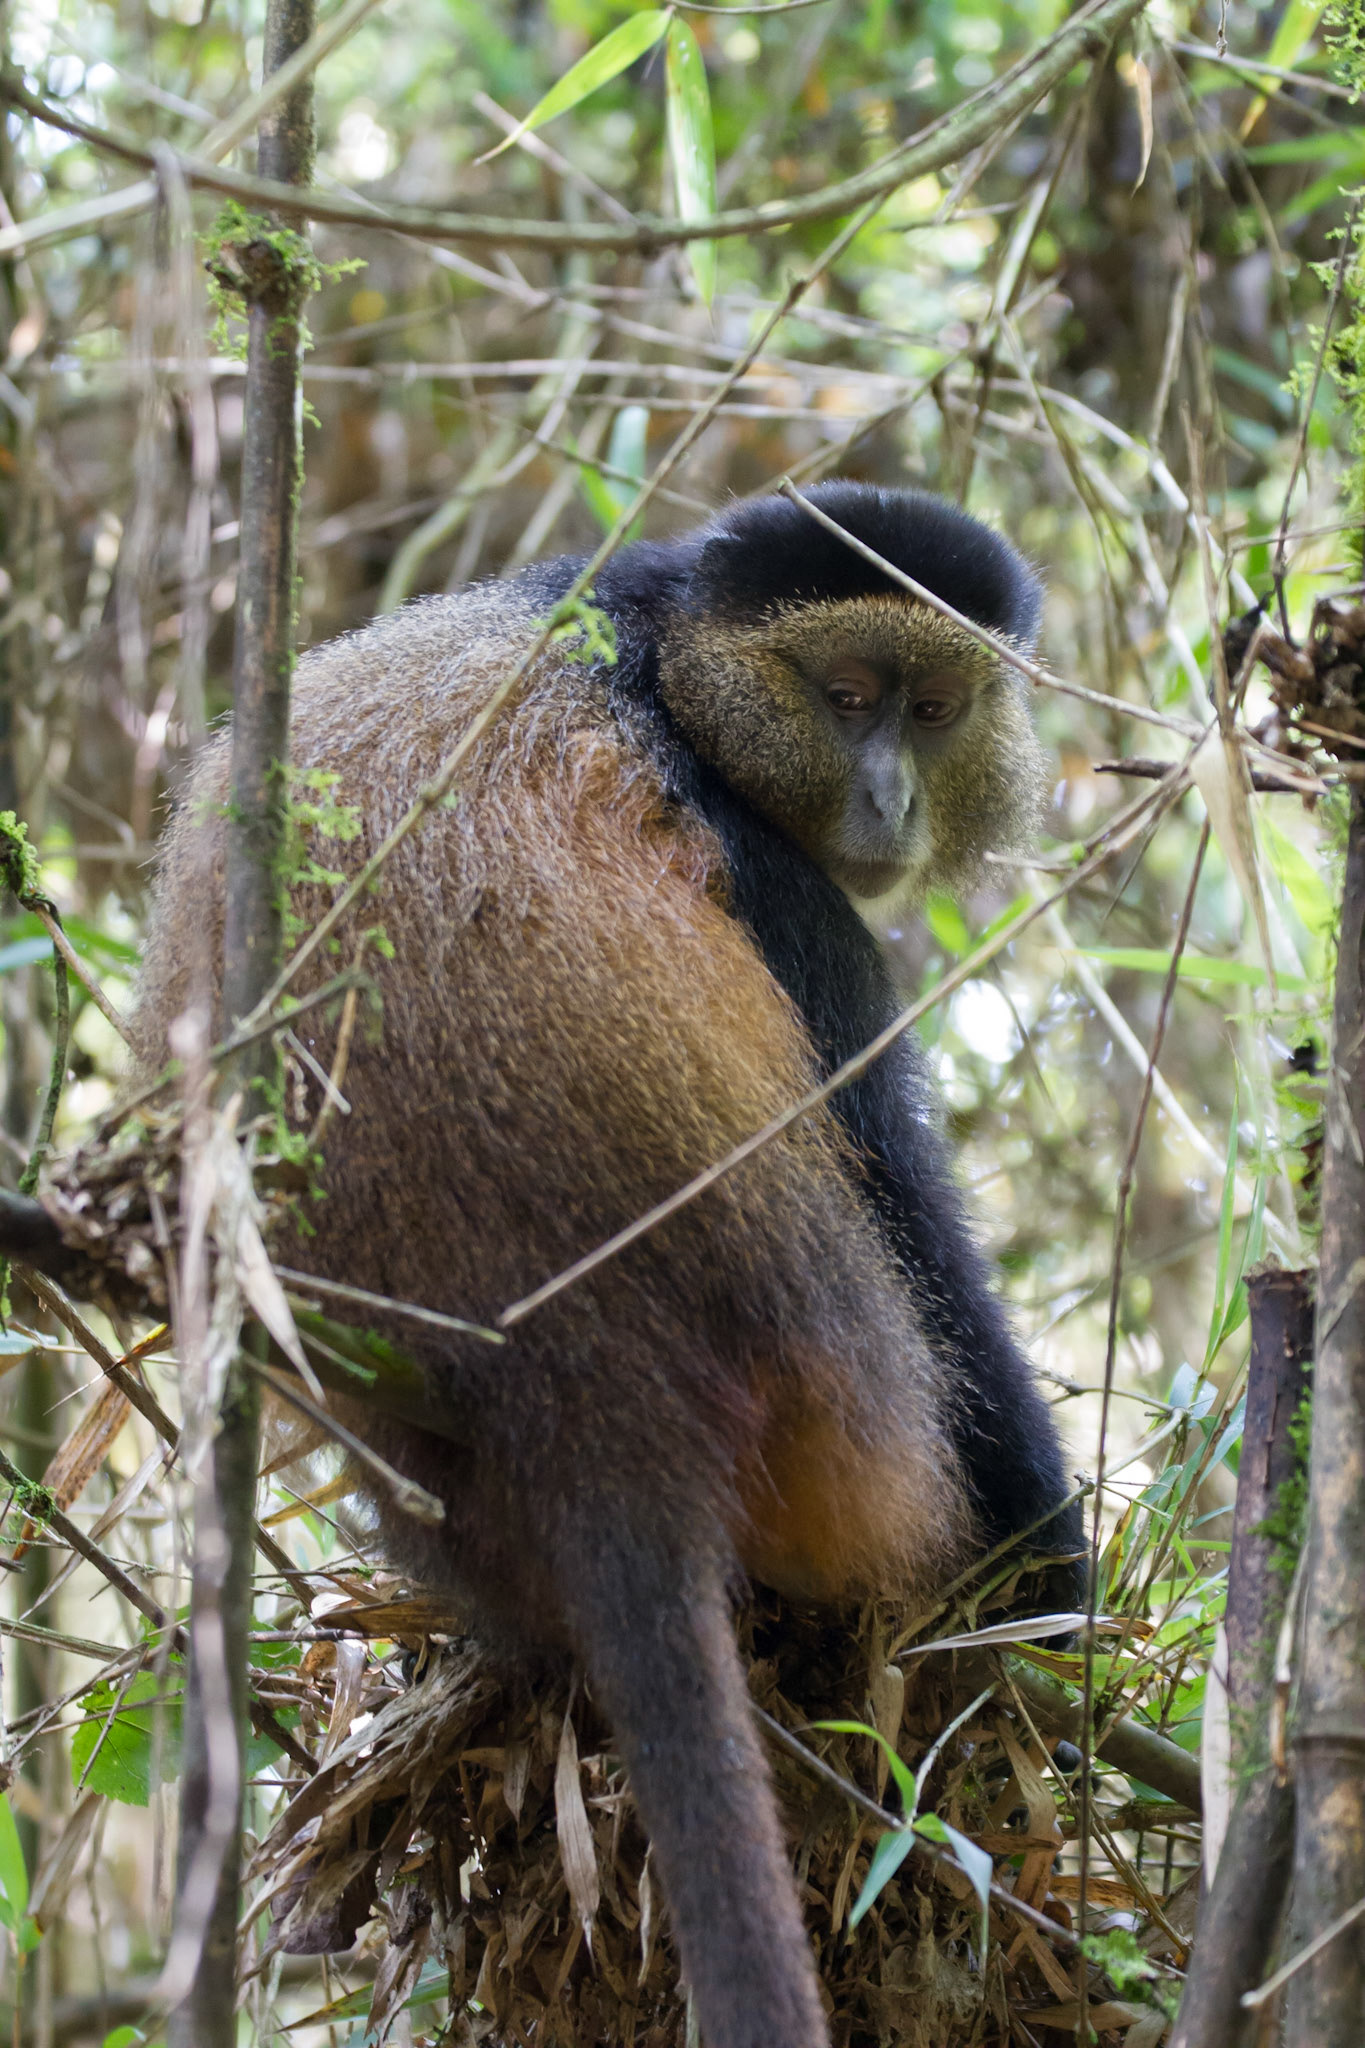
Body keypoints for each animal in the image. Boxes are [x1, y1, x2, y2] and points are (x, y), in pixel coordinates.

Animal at [130, 481, 1083, 2048]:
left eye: (936, 707)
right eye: (848, 695)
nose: (889, 796)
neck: (668, 650)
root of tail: (587, 1374)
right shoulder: (782, 888)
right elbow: (898, 1186)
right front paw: (1058, 1581)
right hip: (852, 1414)